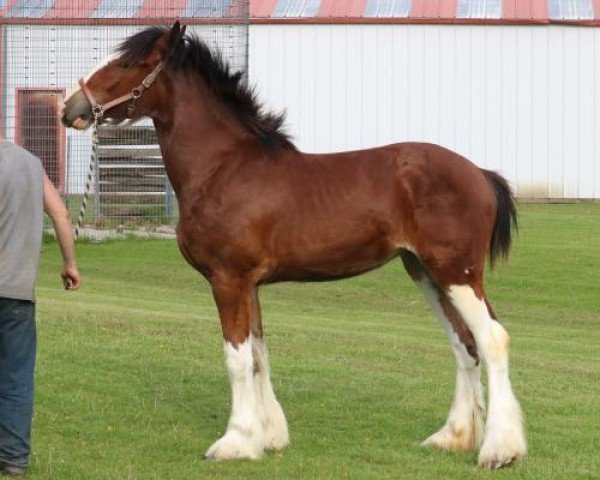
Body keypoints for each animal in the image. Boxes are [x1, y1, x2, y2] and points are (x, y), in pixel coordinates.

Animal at [62, 23, 524, 468]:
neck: (223, 168)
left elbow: (236, 358)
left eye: (128, 64)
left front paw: (234, 442)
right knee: (463, 344)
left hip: (456, 273)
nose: (70, 107)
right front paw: (266, 438)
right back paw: (453, 438)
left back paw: (499, 451)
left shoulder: (228, 280)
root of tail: (480, 174)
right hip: (427, 273)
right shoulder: (249, 285)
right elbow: (258, 355)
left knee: (492, 340)